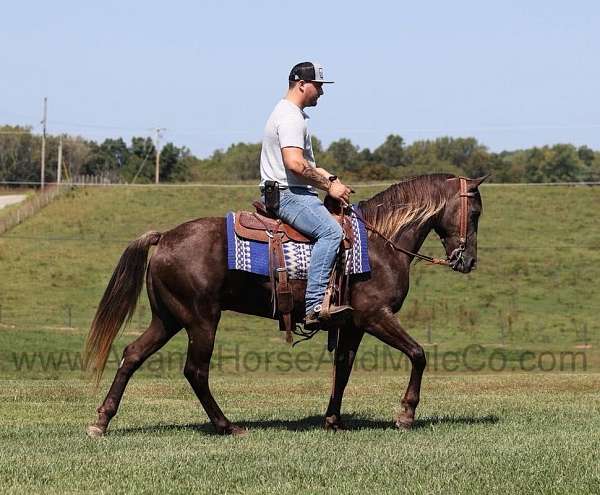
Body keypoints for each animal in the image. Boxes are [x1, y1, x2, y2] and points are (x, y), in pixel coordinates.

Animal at [84, 174, 488, 438]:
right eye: (476, 212)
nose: (467, 261)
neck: (379, 243)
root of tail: (165, 237)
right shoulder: (375, 316)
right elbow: (418, 354)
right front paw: (405, 414)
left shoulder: (352, 324)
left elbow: (343, 369)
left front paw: (333, 420)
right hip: (201, 319)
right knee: (195, 371)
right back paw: (227, 426)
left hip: (167, 318)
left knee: (132, 355)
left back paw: (101, 420)